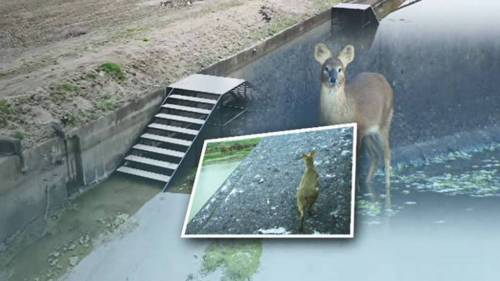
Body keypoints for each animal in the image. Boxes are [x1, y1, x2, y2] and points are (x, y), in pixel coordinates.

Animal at [312, 43, 394, 208]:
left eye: (340, 69)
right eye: (326, 68)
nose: (333, 79)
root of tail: (384, 79)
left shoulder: (359, 130)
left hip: (385, 121)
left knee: (387, 152)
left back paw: (387, 189)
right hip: (369, 133)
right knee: (375, 155)